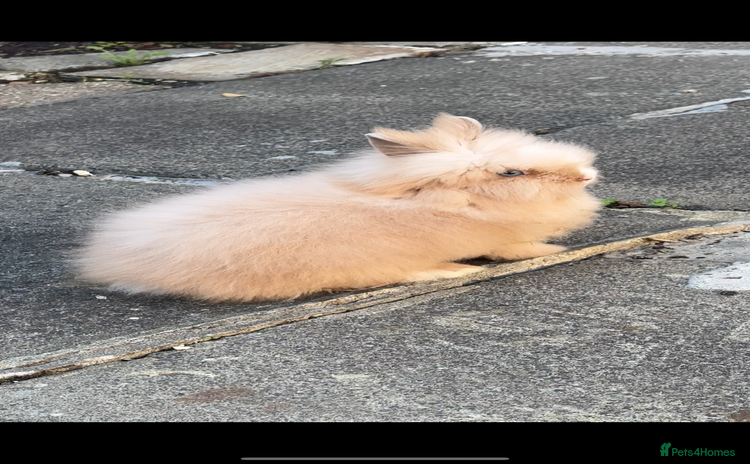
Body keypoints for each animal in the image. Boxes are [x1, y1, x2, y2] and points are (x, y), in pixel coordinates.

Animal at [75, 114, 601, 302]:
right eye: (512, 174)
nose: (587, 176)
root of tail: (114, 261)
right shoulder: (504, 237)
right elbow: (519, 248)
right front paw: (550, 251)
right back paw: (449, 270)